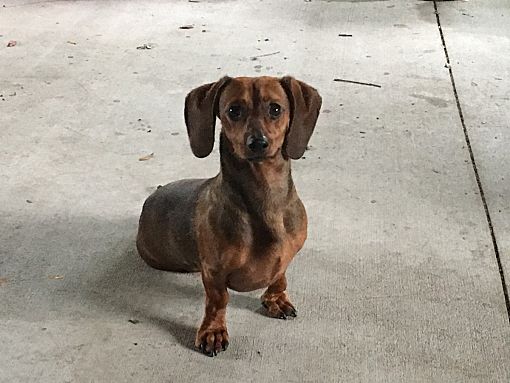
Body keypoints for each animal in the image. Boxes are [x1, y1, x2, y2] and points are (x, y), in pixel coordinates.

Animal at [135, 76, 318, 356]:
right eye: (234, 110)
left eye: (275, 108)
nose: (257, 143)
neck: (265, 203)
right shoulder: (214, 272)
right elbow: (218, 300)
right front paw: (213, 331)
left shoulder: (286, 257)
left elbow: (280, 276)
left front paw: (276, 299)